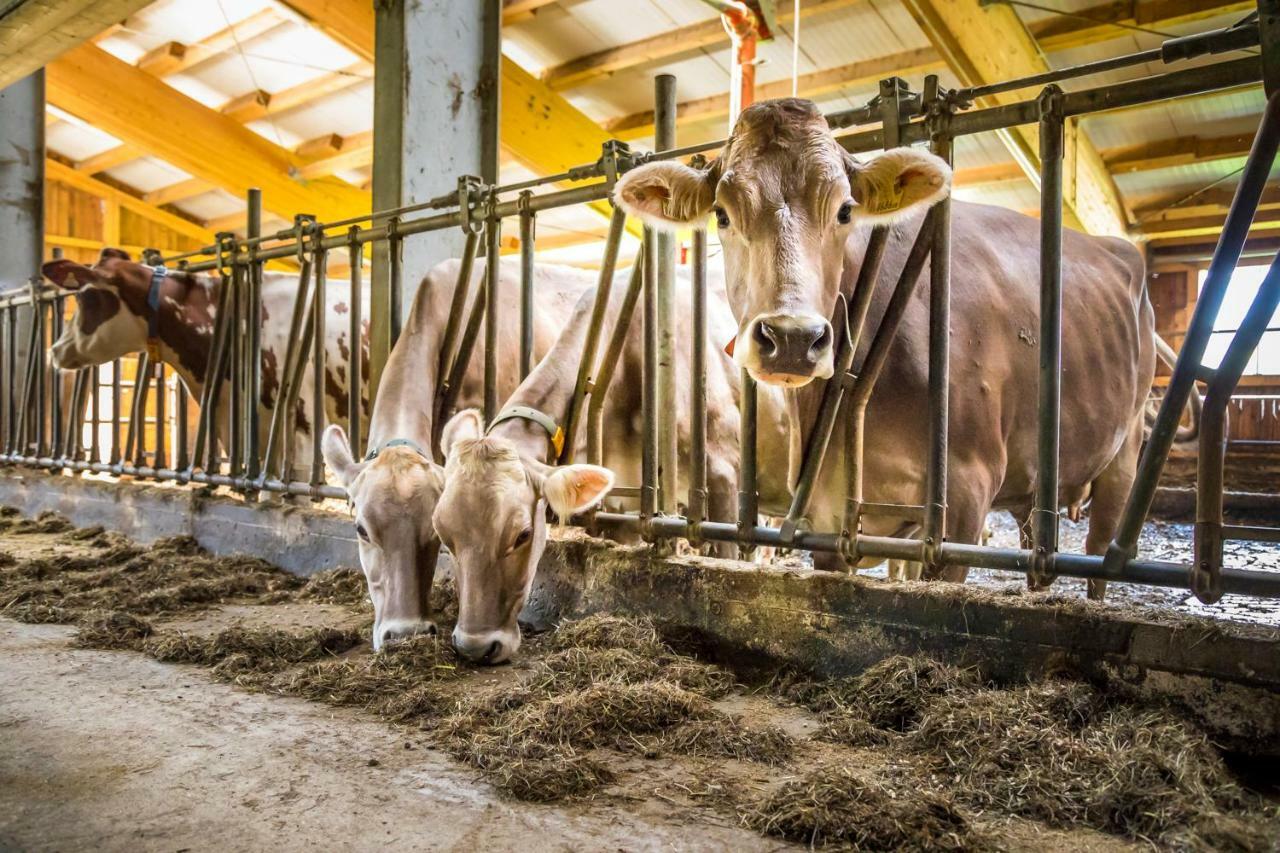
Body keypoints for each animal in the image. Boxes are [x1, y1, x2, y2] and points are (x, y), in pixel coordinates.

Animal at [614, 97, 1157, 596]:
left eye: (845, 210)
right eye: (722, 215)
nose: (791, 338)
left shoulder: (965, 496)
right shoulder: (825, 511)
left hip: (1126, 450)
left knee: (1100, 549)